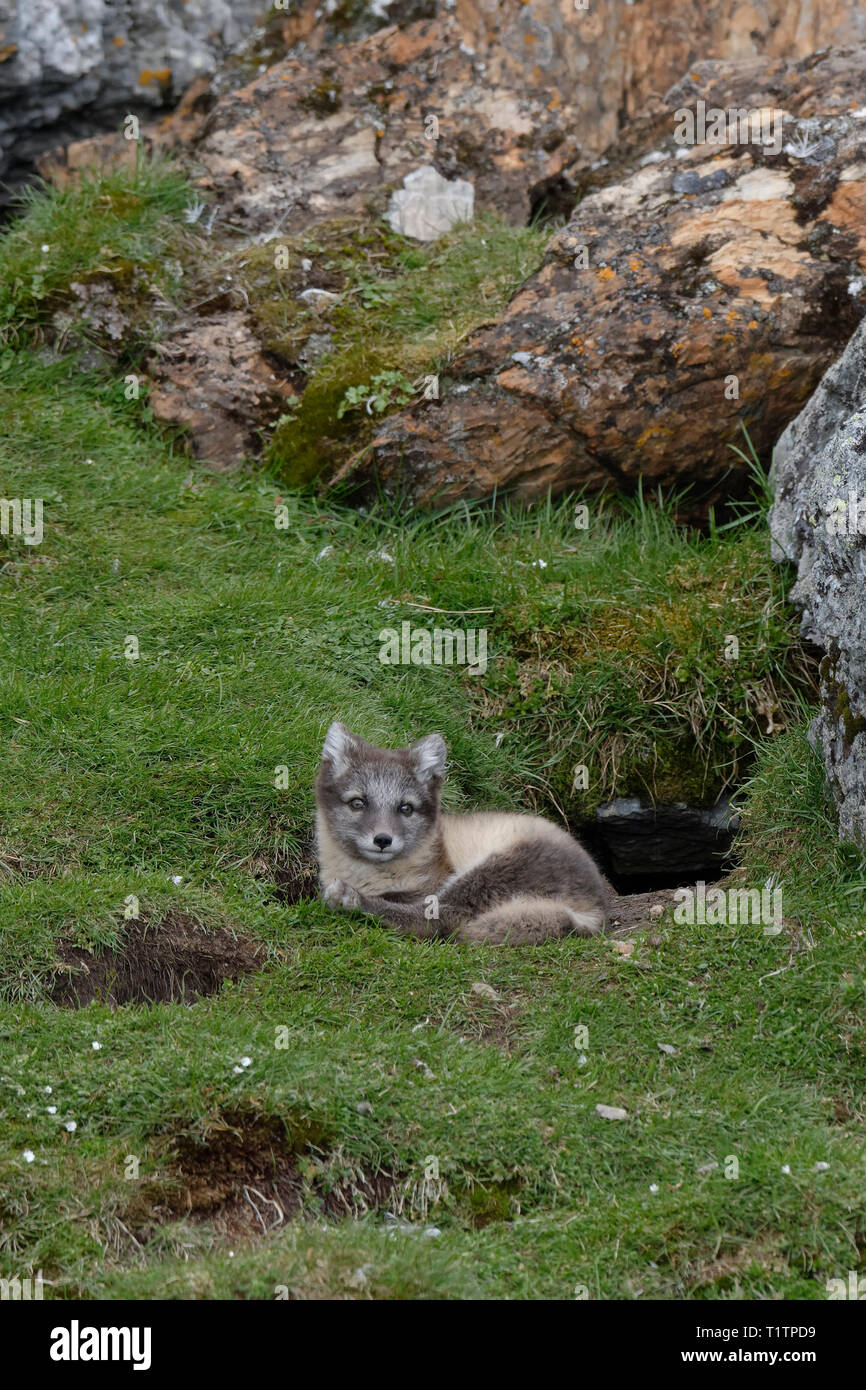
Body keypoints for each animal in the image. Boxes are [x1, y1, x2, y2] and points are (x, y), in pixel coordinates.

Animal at [312, 728, 608, 945]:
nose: (383, 839)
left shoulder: (432, 883)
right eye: (358, 803)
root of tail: (597, 907)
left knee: (440, 918)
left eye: (405, 808)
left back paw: (351, 899)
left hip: (495, 868)